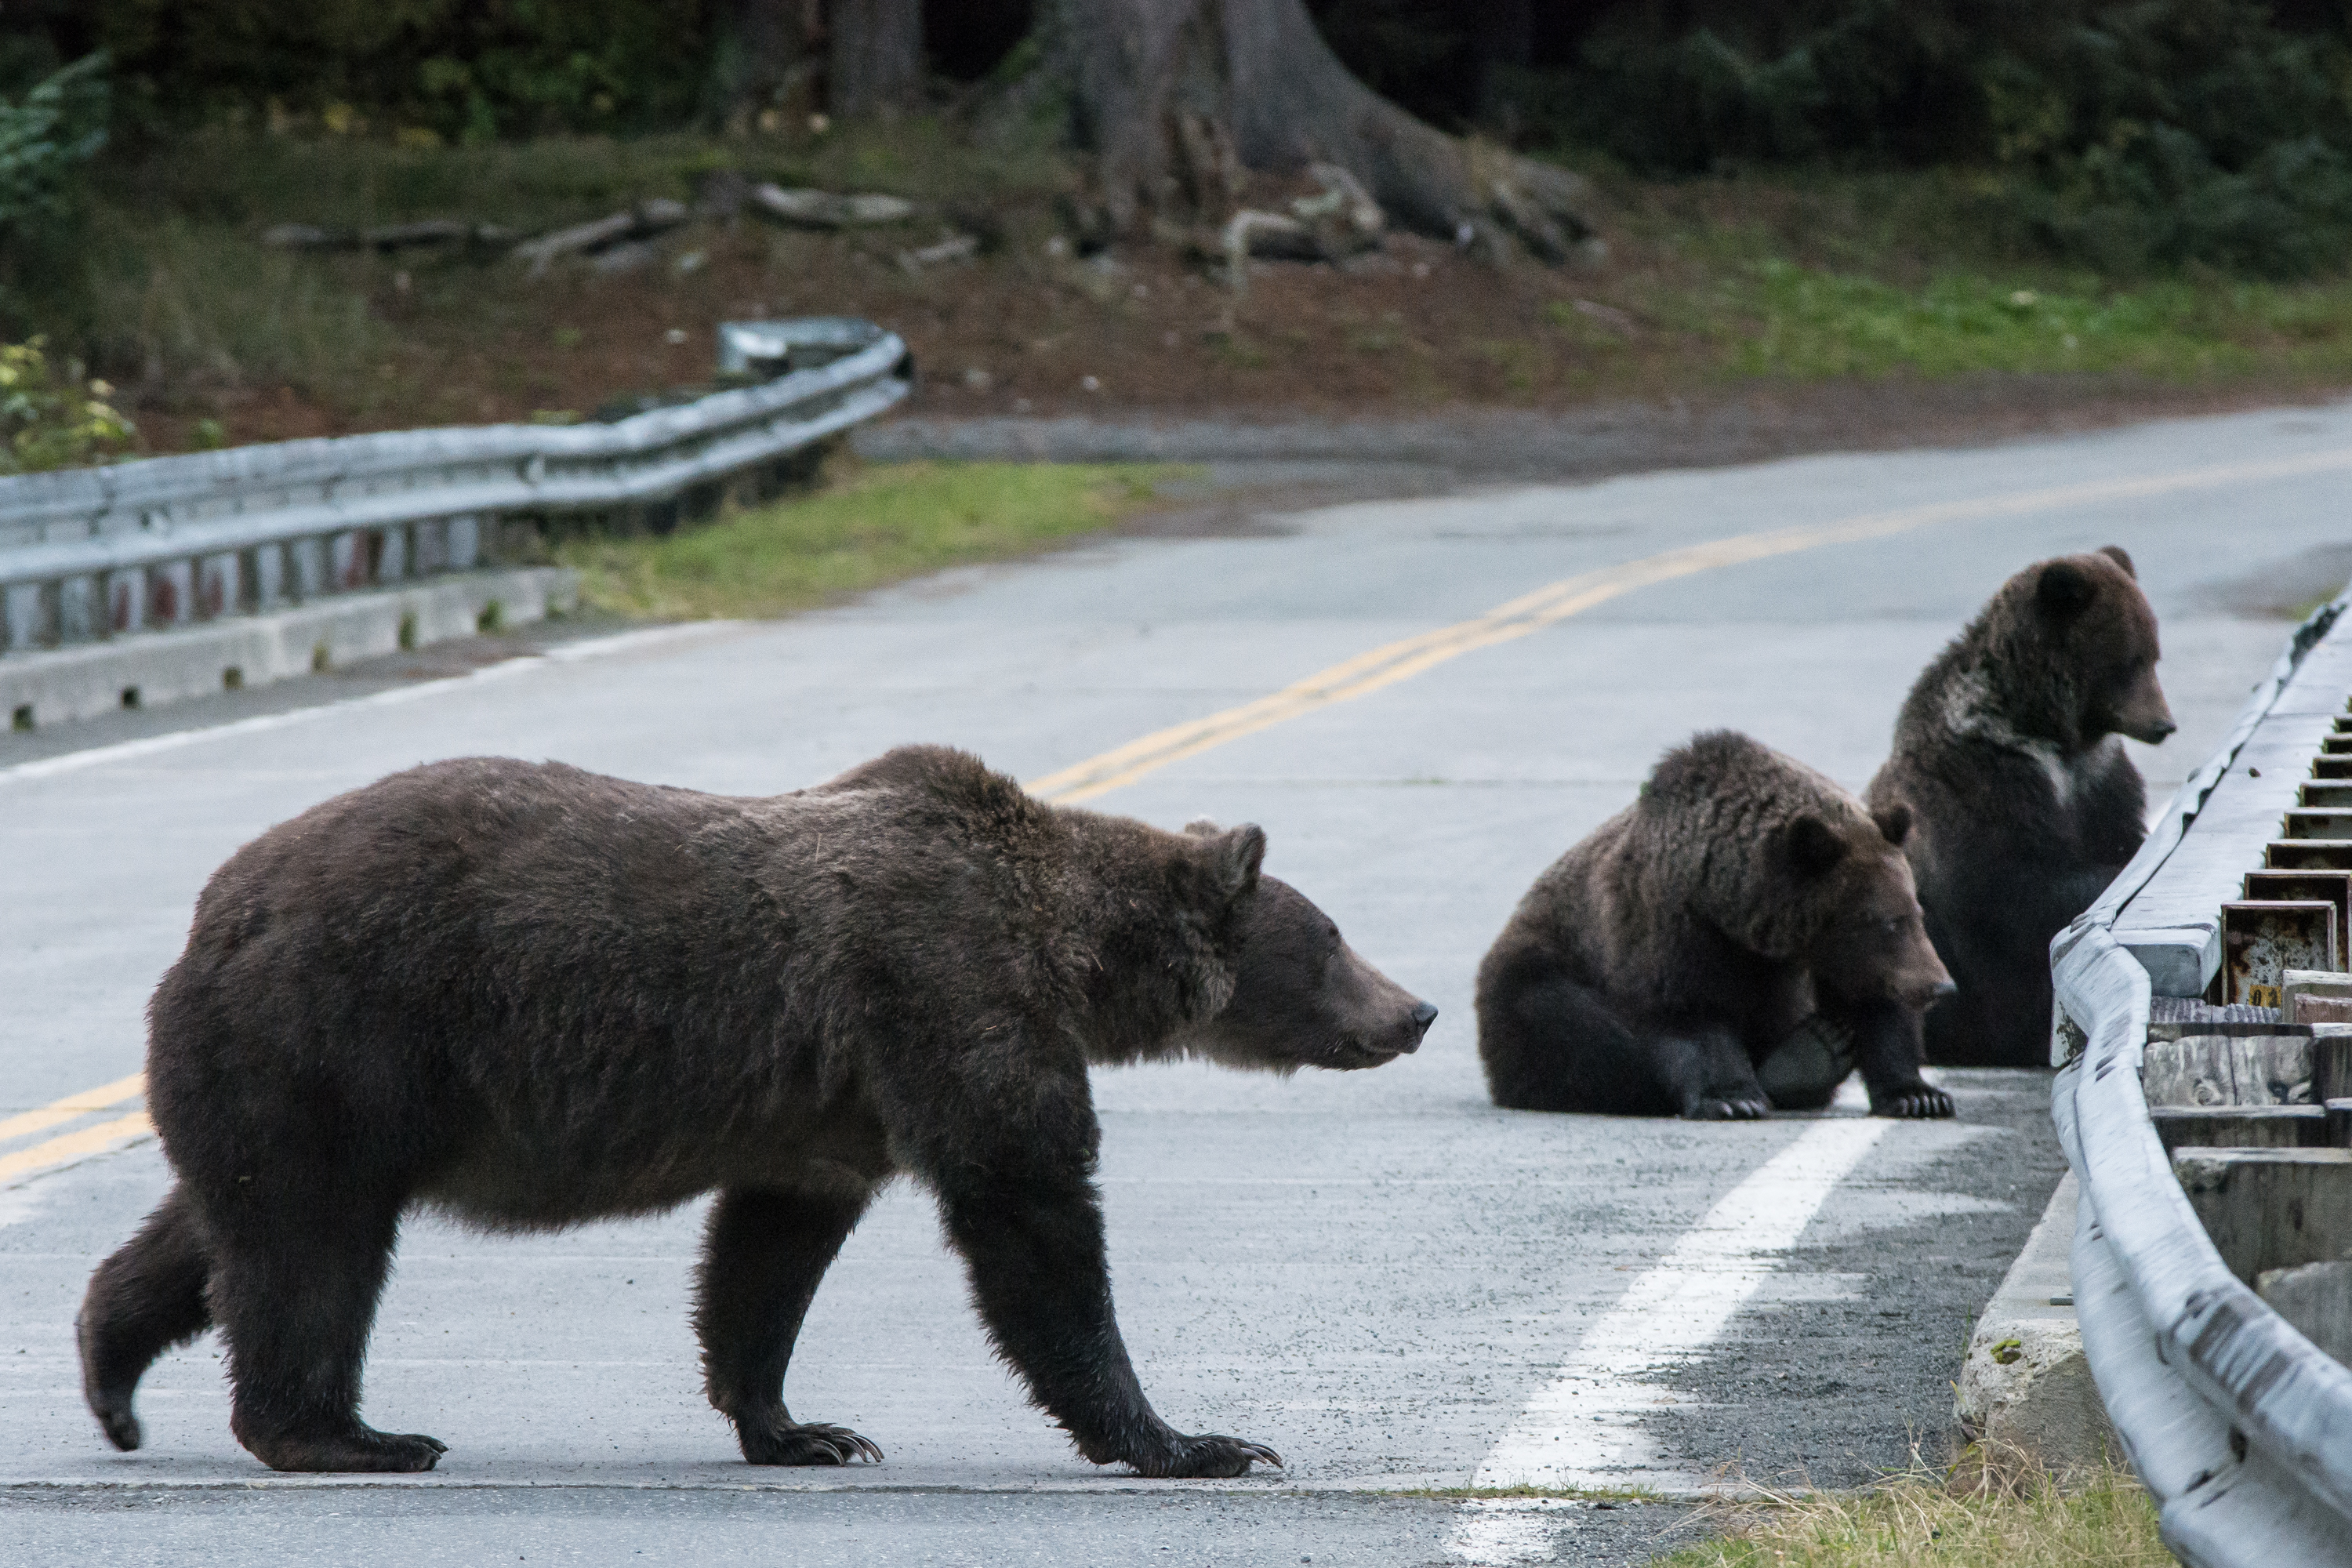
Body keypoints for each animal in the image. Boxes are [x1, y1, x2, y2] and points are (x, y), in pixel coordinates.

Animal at [82, 752, 1430, 1486]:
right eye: (1331, 937)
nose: (1413, 1009)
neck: (1071, 955)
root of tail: (219, 905)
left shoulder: (829, 1112)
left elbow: (767, 1259)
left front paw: (801, 1428)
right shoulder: (947, 996)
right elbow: (1030, 1210)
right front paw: (1193, 1438)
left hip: (301, 1073)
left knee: (223, 1222)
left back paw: (113, 1373)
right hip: (348, 1032)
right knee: (313, 1246)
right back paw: (349, 1434)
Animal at [1477, 728, 1957, 1123]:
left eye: (1915, 912)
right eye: (1884, 922)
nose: (1941, 986)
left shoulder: (1827, 957)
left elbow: (1877, 1006)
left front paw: (1920, 1095)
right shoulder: (1669, 926)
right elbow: (1689, 1011)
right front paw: (1733, 1098)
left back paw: (1816, 1052)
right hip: (1534, 970)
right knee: (1574, 1027)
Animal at [1863, 545, 2173, 1072]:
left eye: (2153, 653)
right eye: (2130, 661)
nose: (2164, 725)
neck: (2046, 731)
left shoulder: (2097, 780)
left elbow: (2119, 832)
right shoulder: (1987, 784)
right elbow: (2016, 883)